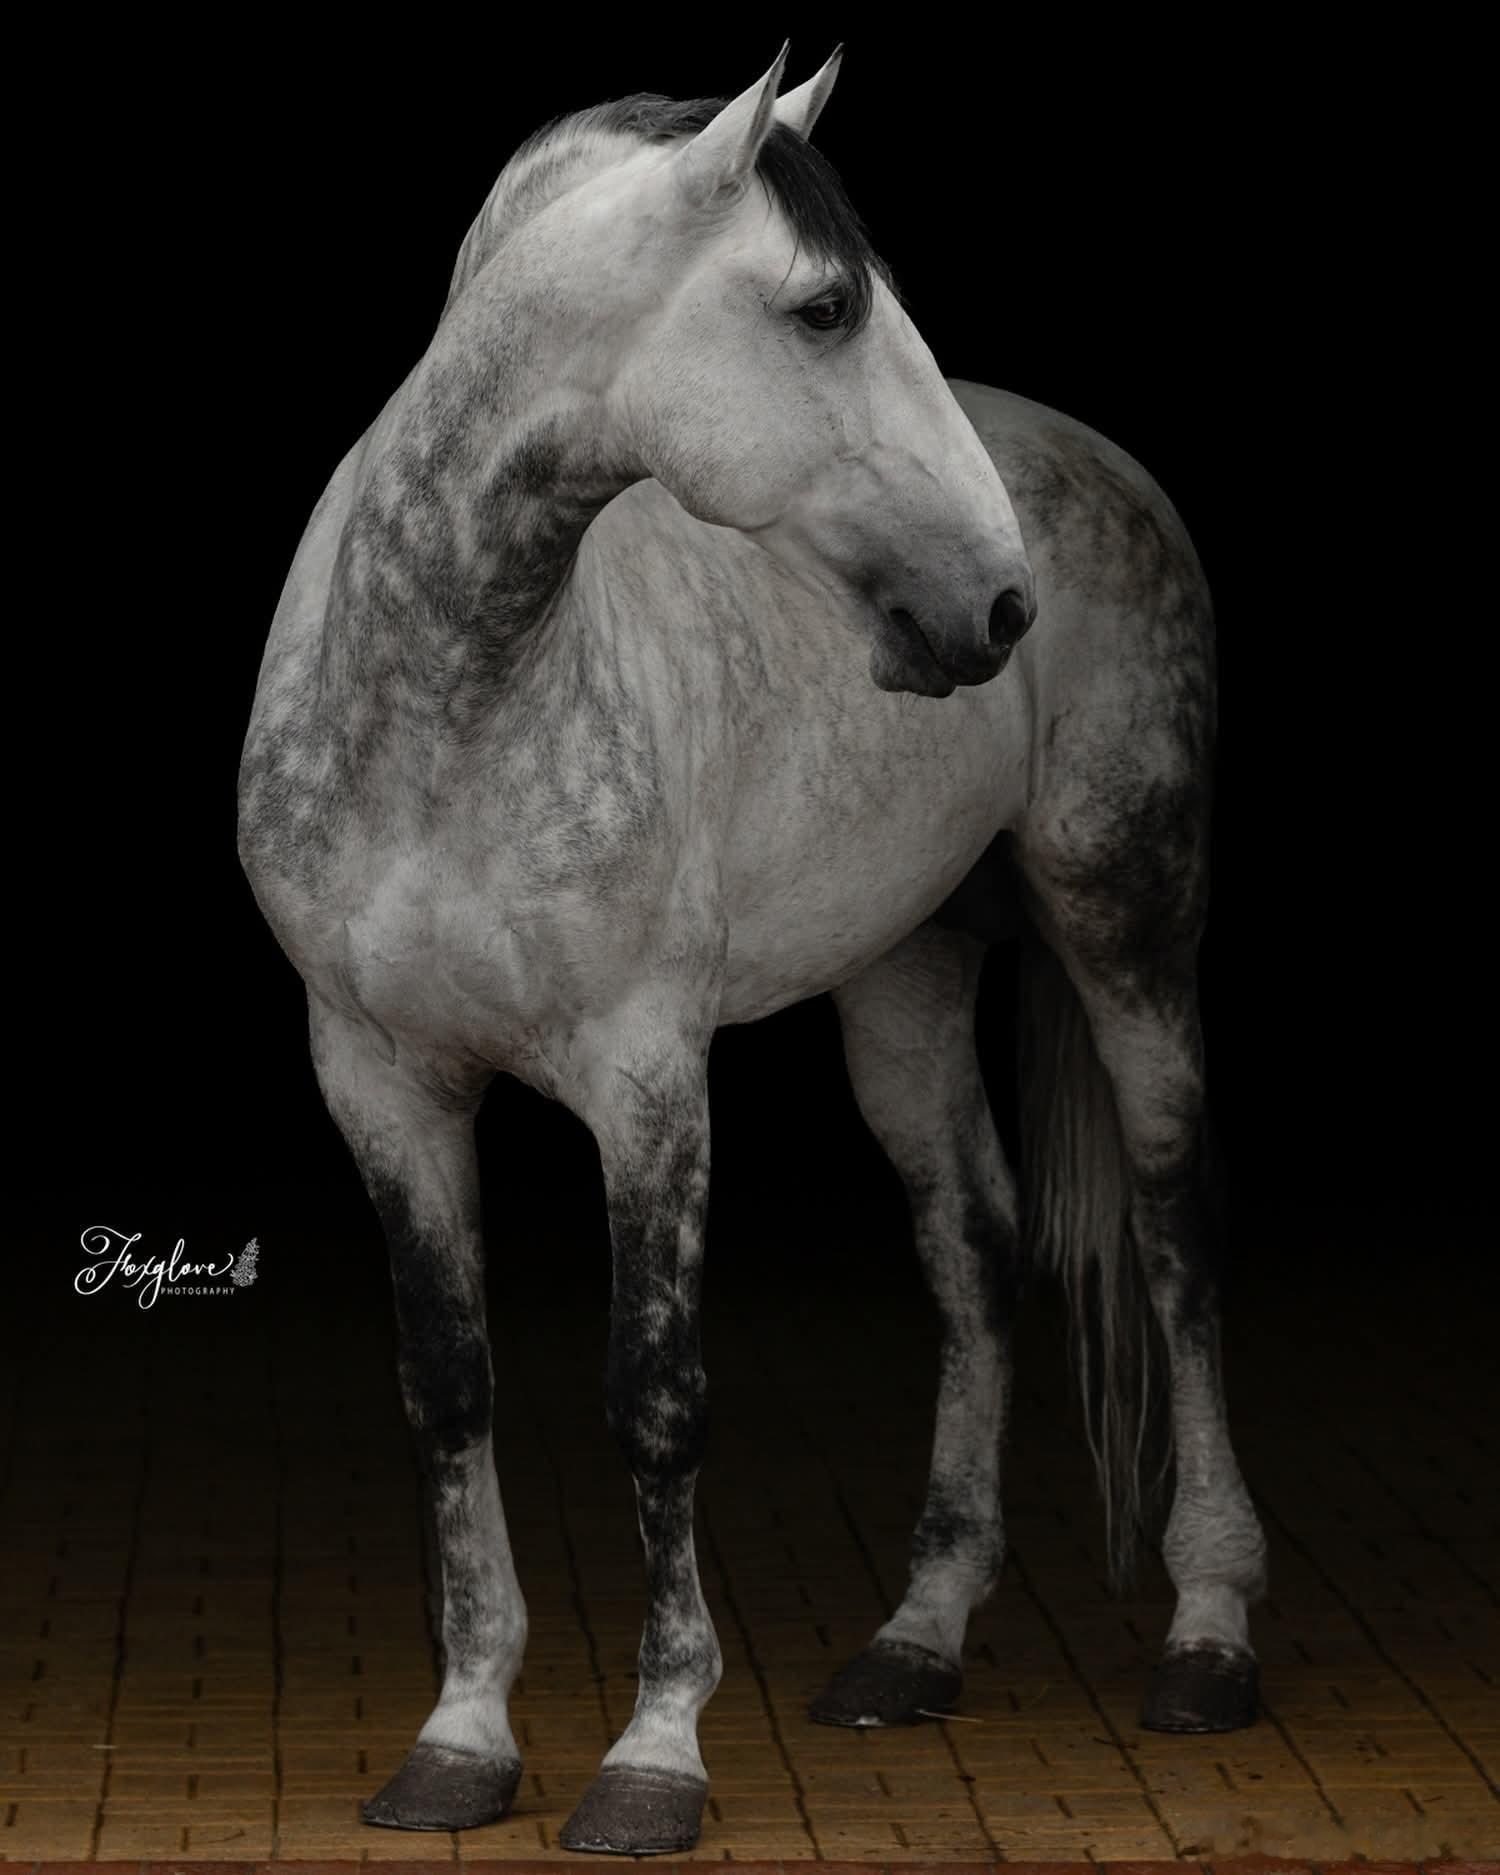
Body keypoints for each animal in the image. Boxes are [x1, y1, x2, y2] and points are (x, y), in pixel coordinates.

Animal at [237, 45, 1268, 1855]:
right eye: (828, 306)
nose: (997, 606)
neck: (449, 706)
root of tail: (1098, 460)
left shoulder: (648, 1080)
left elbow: (657, 1394)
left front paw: (654, 1756)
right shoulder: (378, 1079)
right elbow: (450, 1384)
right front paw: (459, 1738)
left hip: (1126, 921)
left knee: (1173, 1233)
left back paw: (1209, 1638)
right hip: (906, 974)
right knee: (974, 1250)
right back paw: (915, 1643)